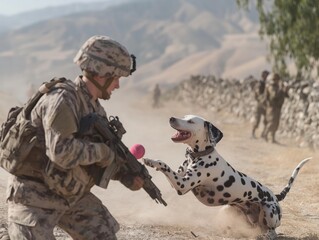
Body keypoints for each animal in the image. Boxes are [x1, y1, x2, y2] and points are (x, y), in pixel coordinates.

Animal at [144, 115, 312, 239]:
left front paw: (152, 161)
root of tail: (276, 197)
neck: (199, 155)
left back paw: (267, 235)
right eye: (184, 116)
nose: (171, 118)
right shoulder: (179, 177)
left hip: (269, 212)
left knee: (273, 231)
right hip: (230, 210)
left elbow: (163, 163)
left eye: (190, 121)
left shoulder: (182, 185)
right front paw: (150, 162)